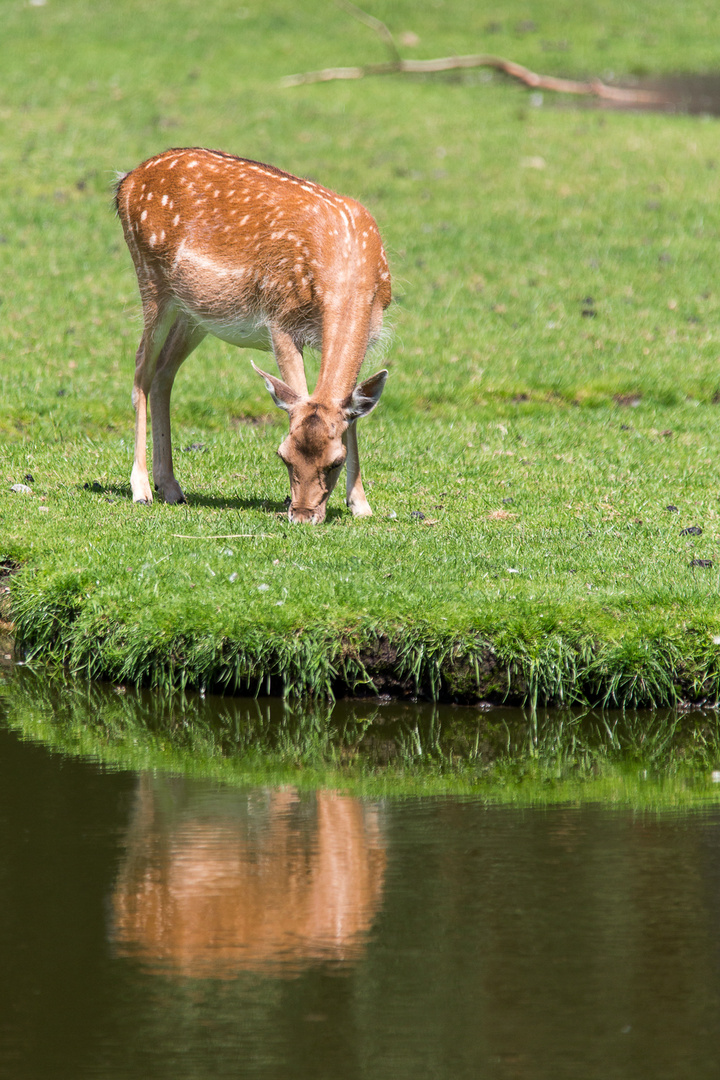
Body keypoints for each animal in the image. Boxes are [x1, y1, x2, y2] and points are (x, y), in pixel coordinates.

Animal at [114, 146, 390, 522]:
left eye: (336, 462)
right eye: (283, 455)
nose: (301, 515)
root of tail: (126, 181)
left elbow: (352, 413)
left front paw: (361, 504)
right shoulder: (280, 319)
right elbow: (298, 392)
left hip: (195, 314)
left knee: (163, 372)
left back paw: (170, 487)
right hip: (152, 281)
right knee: (141, 367)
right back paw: (141, 488)